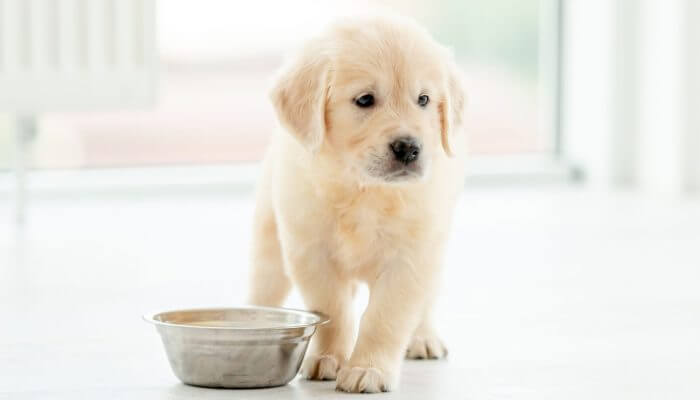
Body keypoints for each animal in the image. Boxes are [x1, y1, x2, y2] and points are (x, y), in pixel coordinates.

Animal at [249, 14, 468, 392]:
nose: (409, 148)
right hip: (270, 243)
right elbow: (333, 311)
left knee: (426, 300)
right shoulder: (312, 253)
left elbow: (384, 318)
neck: (364, 189)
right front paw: (329, 357)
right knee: (265, 287)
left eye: (424, 99)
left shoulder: (410, 258)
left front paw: (369, 368)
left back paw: (423, 338)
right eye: (365, 100)